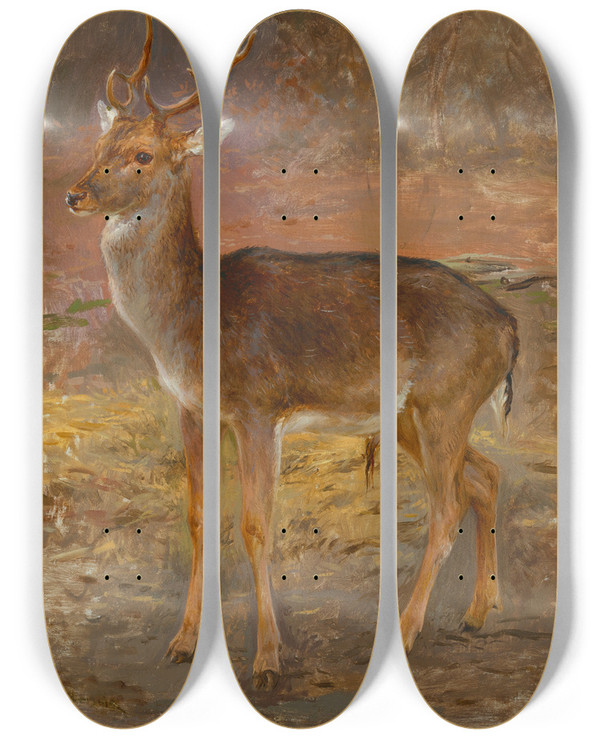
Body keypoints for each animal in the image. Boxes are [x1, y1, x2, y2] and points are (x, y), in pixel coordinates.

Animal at [66, 16, 519, 688]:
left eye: (143, 155)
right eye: (99, 146)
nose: (73, 195)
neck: (191, 323)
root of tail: (510, 327)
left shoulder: (259, 406)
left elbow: (256, 526)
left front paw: (268, 659)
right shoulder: (192, 408)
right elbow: (198, 517)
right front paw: (181, 642)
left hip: (446, 400)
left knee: (446, 507)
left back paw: (411, 629)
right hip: (417, 415)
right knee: (485, 476)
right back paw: (476, 613)